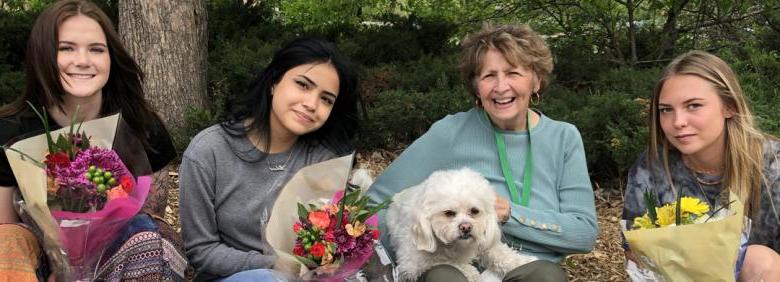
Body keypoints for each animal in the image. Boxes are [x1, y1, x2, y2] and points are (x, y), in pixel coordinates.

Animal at [386, 169, 532, 280]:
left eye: (474, 211)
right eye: (449, 213)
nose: (466, 227)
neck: (458, 246)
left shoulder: (484, 244)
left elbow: (502, 254)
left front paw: (524, 262)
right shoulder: (410, 263)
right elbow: (445, 261)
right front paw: (471, 273)